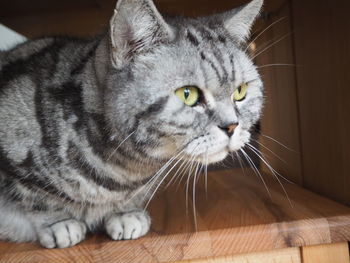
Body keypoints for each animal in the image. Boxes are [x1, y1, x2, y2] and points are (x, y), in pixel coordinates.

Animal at [0, 0, 262, 250]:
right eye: (188, 94)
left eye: (240, 92)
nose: (232, 126)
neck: (124, 172)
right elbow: (36, 200)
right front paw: (59, 222)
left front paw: (124, 213)